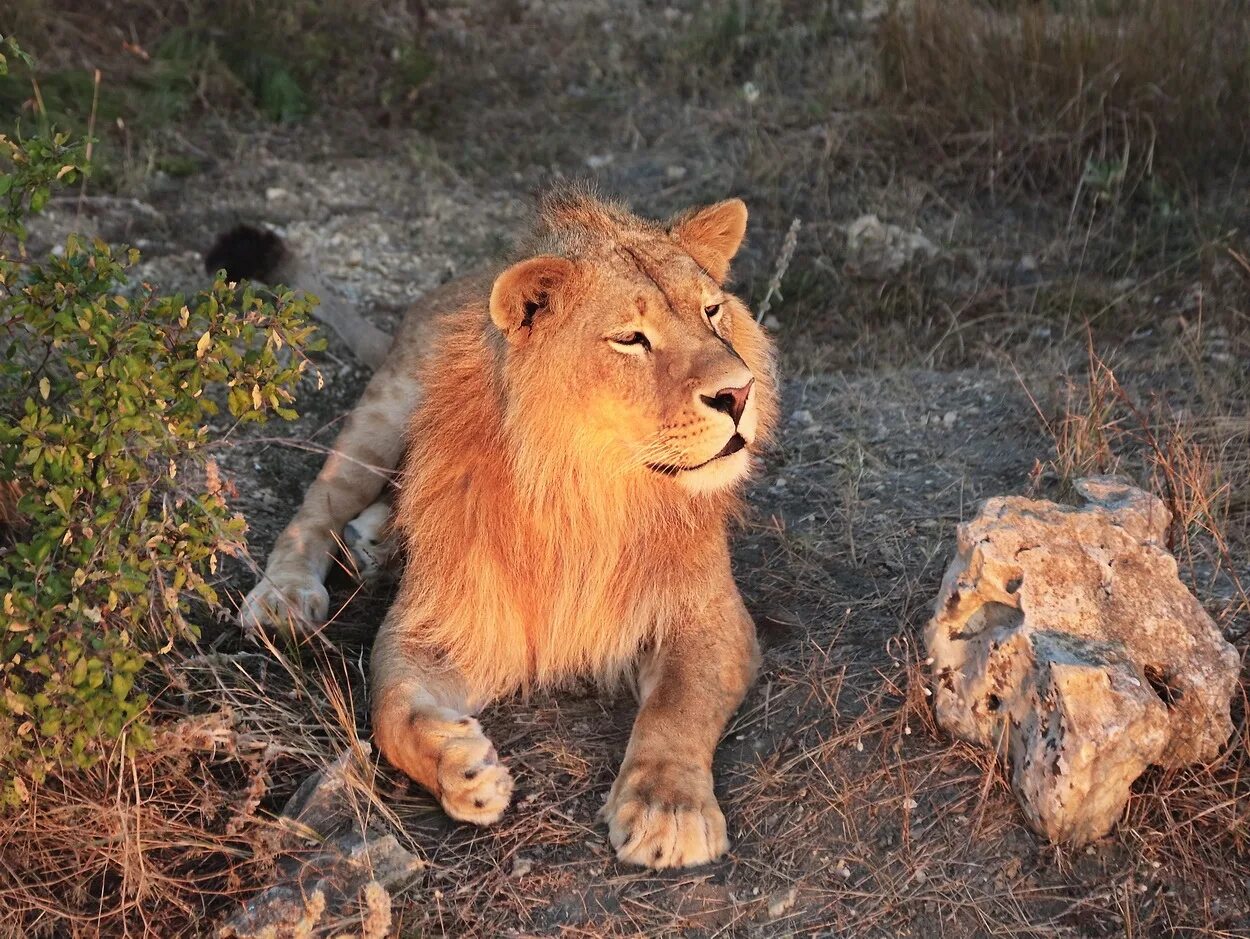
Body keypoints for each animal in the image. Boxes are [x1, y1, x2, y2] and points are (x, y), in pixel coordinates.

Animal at [238, 187, 775, 870]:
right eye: (631, 339)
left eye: (712, 312)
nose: (739, 393)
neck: (585, 491)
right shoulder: (443, 620)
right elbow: (389, 708)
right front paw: (463, 769)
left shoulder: (710, 616)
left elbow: (678, 706)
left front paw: (667, 809)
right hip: (386, 411)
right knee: (316, 505)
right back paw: (284, 597)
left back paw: (377, 541)